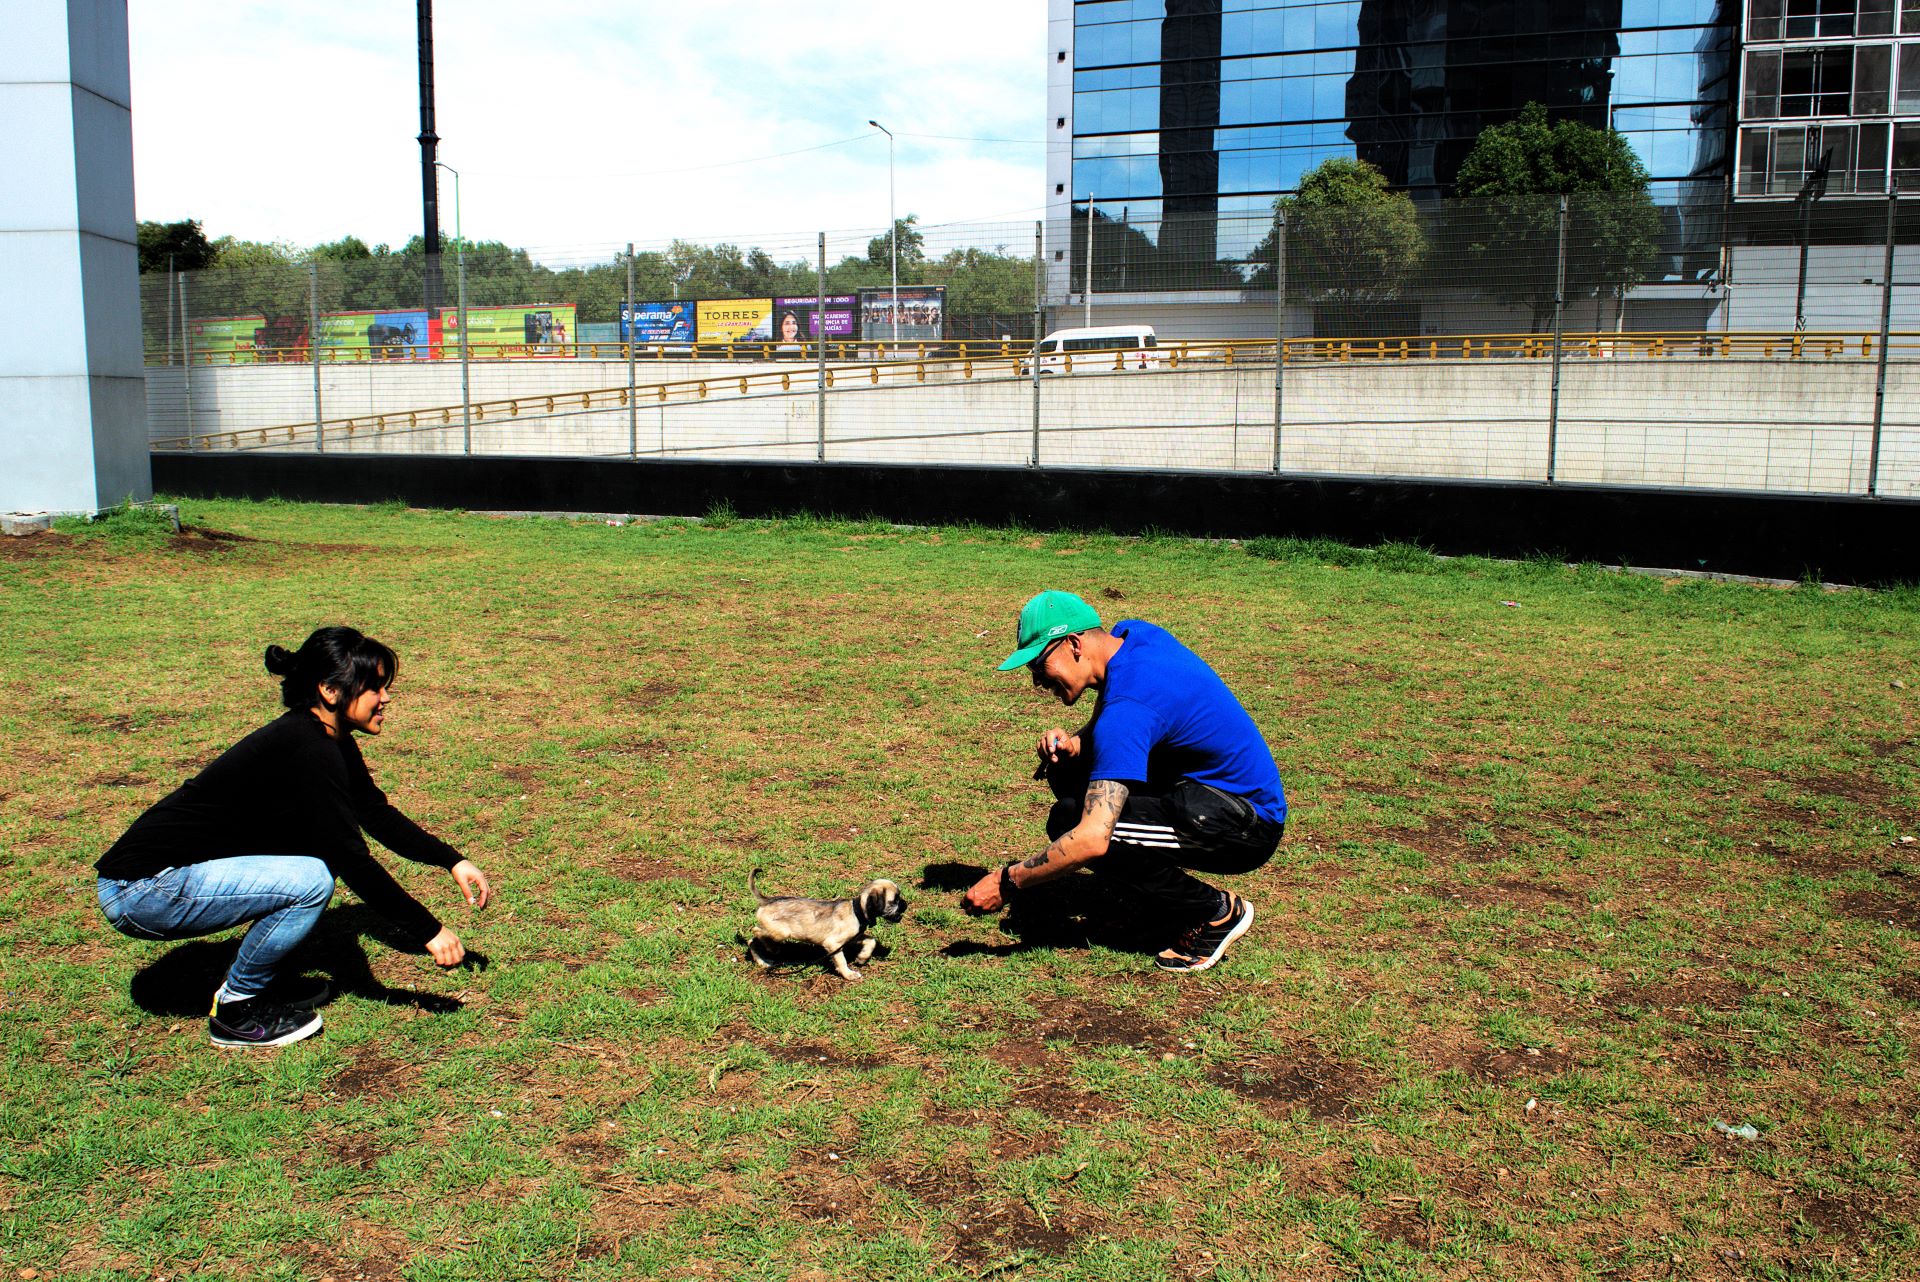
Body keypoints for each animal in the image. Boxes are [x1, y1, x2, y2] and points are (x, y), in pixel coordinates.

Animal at [744, 871, 910, 982]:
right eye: (895, 900)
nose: (906, 904)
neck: (856, 911)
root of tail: (766, 900)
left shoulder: (853, 938)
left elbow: (871, 941)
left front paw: (862, 958)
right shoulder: (833, 944)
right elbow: (841, 960)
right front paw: (848, 974)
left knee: (753, 939)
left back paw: (762, 961)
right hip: (780, 933)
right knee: (754, 934)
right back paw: (768, 952)